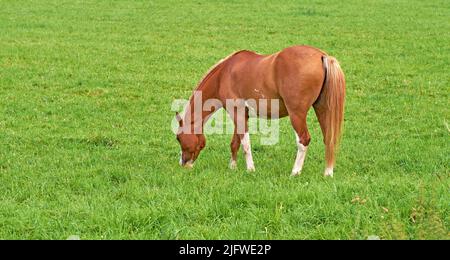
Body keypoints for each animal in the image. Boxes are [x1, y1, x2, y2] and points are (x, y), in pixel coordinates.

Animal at [174, 46, 346, 177]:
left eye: (178, 138)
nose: (183, 163)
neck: (224, 74)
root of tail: (322, 56)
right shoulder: (242, 114)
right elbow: (235, 142)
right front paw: (232, 167)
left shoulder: (236, 112)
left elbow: (245, 143)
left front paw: (250, 169)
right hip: (322, 109)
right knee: (329, 139)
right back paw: (328, 173)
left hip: (297, 115)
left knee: (304, 140)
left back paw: (295, 172)